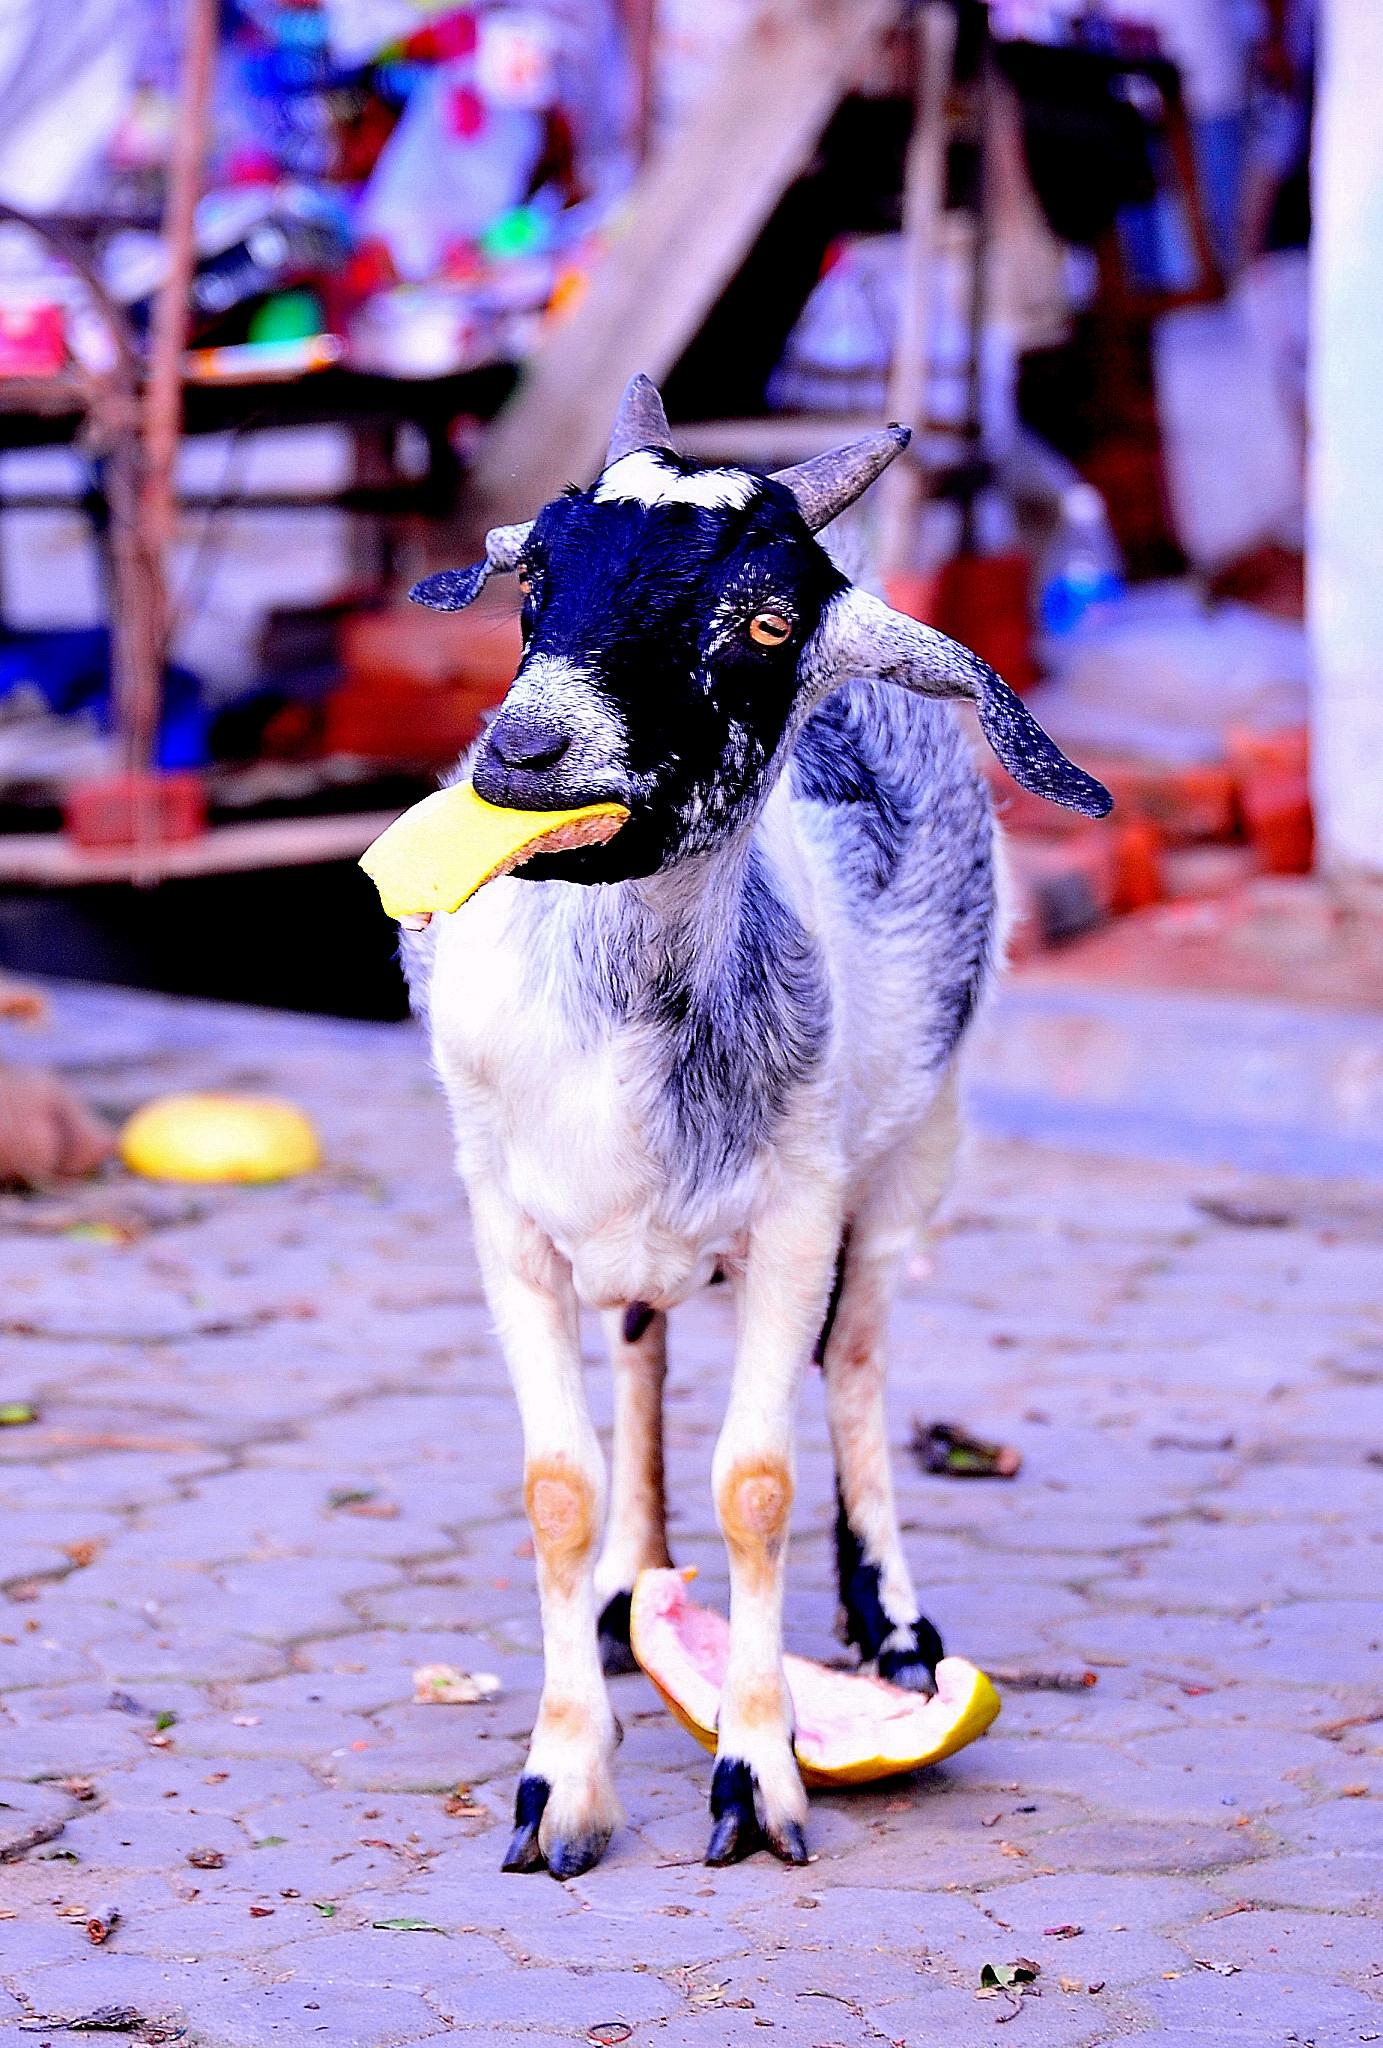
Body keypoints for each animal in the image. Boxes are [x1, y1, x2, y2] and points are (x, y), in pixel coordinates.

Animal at [399, 375, 1109, 1879]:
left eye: (766, 624)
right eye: (536, 576)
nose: (521, 752)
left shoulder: (794, 1211)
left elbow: (760, 1482)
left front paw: (759, 1771)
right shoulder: (504, 1216)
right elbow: (557, 1484)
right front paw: (562, 1784)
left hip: (913, 1152)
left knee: (858, 1361)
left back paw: (892, 1625)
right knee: (642, 1348)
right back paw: (628, 1589)